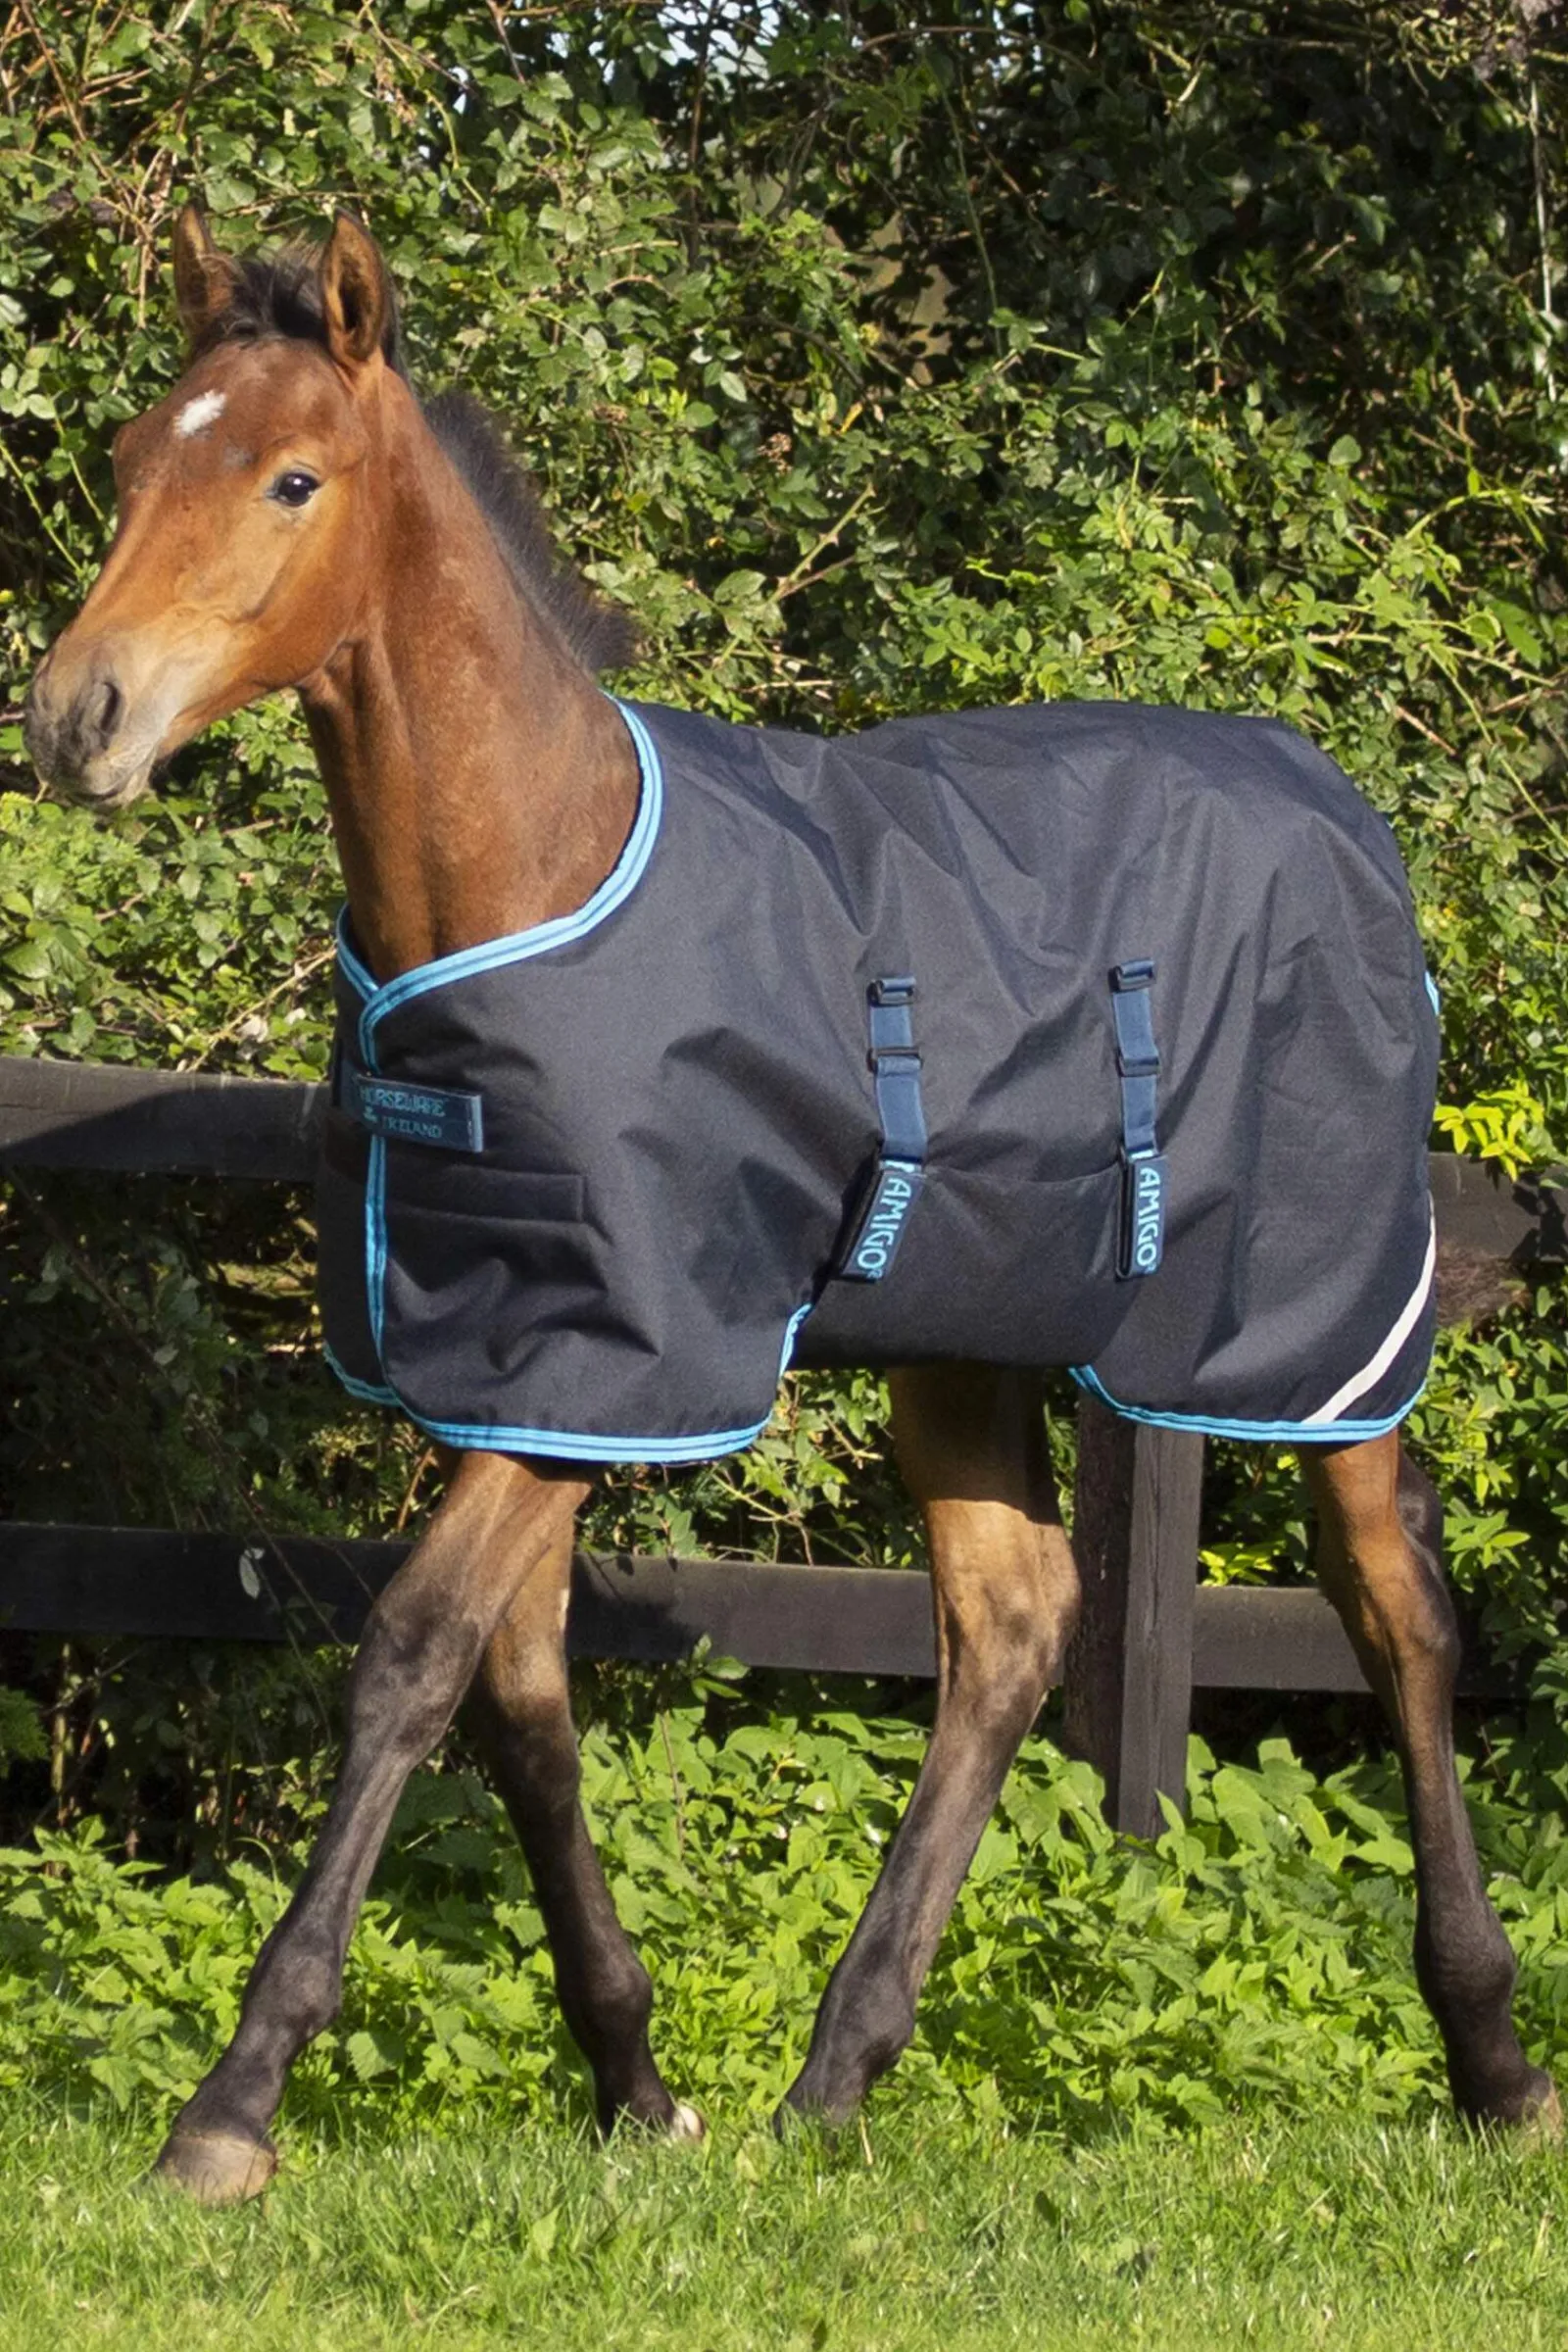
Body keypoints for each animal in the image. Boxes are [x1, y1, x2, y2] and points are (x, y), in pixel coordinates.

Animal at [23, 208, 1556, 2203]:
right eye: (138, 457)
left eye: (292, 477)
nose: (79, 718)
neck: (537, 868)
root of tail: (1345, 817)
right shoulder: (527, 1362)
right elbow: (521, 1693)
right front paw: (637, 2081)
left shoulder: (623, 1356)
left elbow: (413, 1658)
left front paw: (231, 2109)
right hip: (964, 1336)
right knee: (1014, 1622)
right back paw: (837, 2074)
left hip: (1313, 1332)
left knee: (1396, 1614)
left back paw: (1495, 2061)